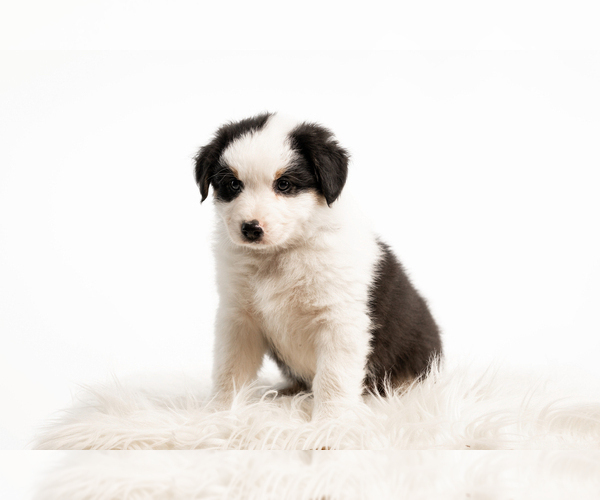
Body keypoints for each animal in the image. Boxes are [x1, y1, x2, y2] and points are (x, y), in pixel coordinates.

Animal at [195, 112, 442, 418]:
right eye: (233, 184)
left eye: (284, 184)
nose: (251, 228)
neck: (279, 254)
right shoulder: (239, 316)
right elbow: (230, 369)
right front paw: (217, 413)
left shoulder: (339, 319)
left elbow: (333, 377)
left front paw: (332, 423)